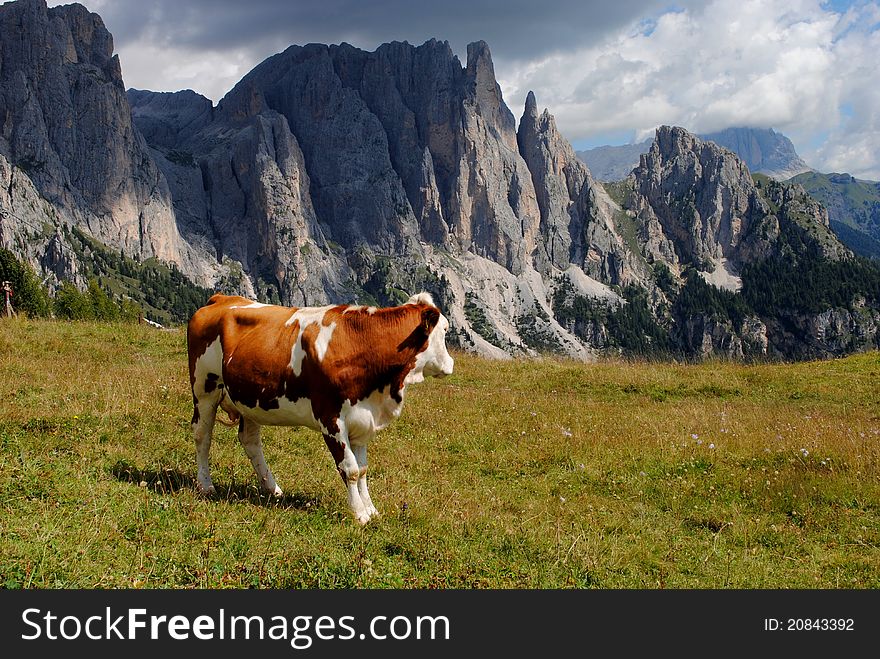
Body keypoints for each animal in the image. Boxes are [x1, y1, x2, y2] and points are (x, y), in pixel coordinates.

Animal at [190, 294, 458, 524]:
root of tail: (222, 298)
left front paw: (372, 510)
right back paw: (206, 485)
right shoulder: (331, 419)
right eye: (445, 330)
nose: (451, 364)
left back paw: (272, 488)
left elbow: (362, 469)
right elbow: (350, 469)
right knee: (202, 435)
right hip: (204, 390)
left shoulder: (362, 420)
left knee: (250, 441)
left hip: (249, 398)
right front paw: (360, 514)